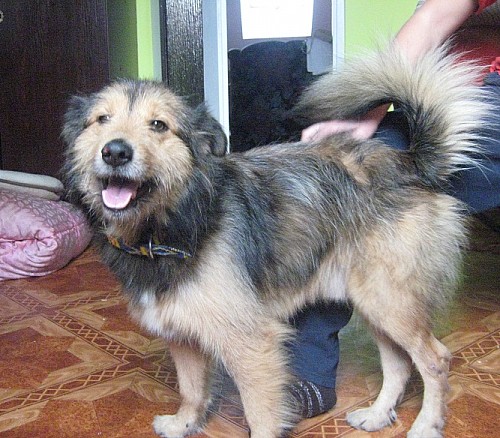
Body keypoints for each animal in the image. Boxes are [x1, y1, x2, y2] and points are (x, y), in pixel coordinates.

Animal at [61, 43, 488, 438]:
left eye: (159, 125)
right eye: (101, 119)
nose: (115, 151)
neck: (172, 224)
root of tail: (410, 164)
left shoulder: (253, 343)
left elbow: (260, 415)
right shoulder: (183, 335)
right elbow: (191, 390)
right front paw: (184, 423)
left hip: (392, 303)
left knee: (435, 359)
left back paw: (427, 424)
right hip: (376, 305)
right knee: (399, 364)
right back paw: (377, 415)